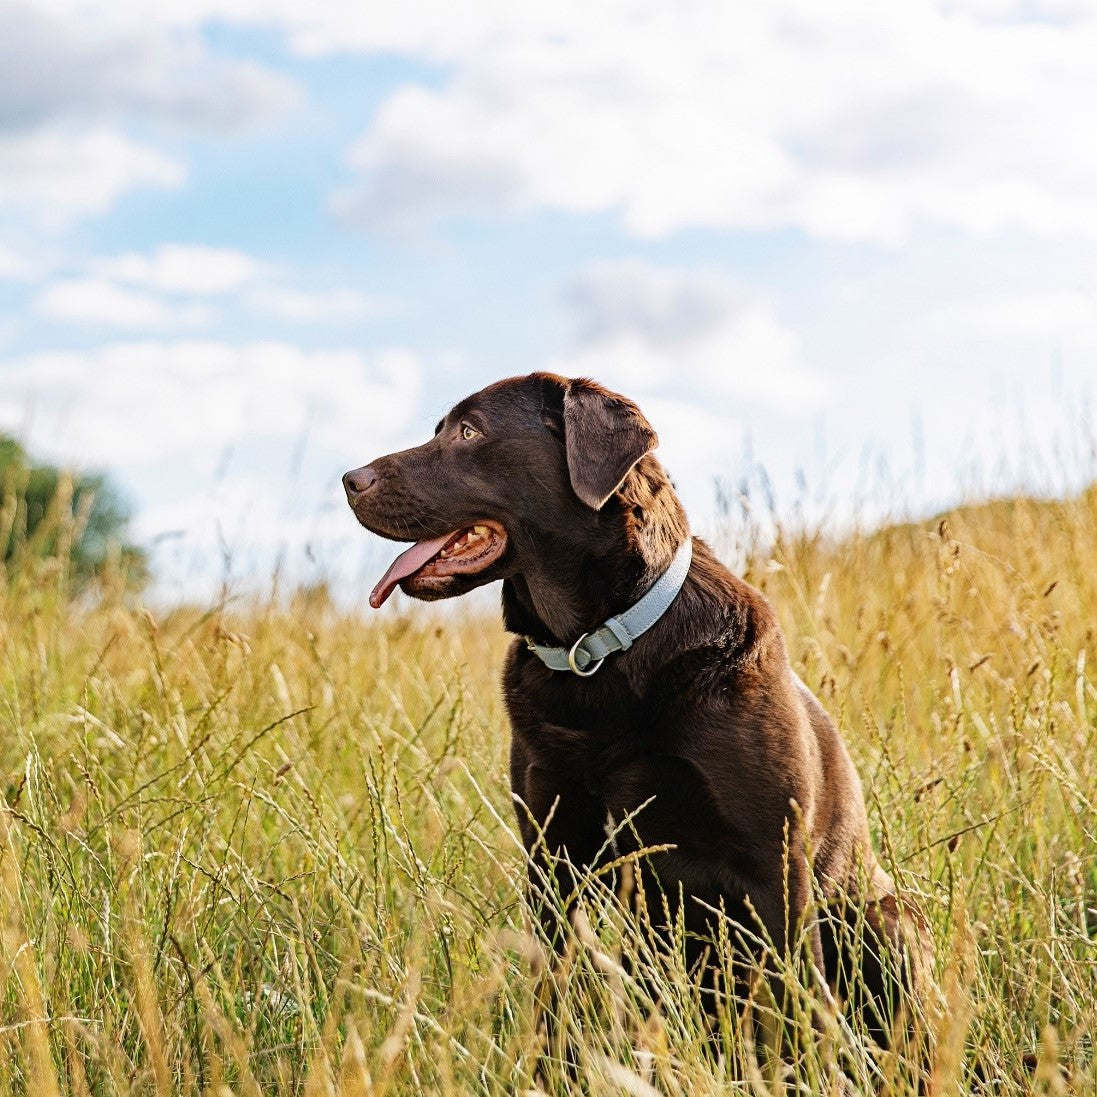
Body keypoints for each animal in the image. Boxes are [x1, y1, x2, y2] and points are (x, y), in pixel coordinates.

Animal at [346, 375, 930, 1053]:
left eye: (468, 432)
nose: (348, 479)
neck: (594, 650)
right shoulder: (553, 862)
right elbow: (555, 1002)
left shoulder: (775, 868)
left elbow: (794, 1014)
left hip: (890, 919)